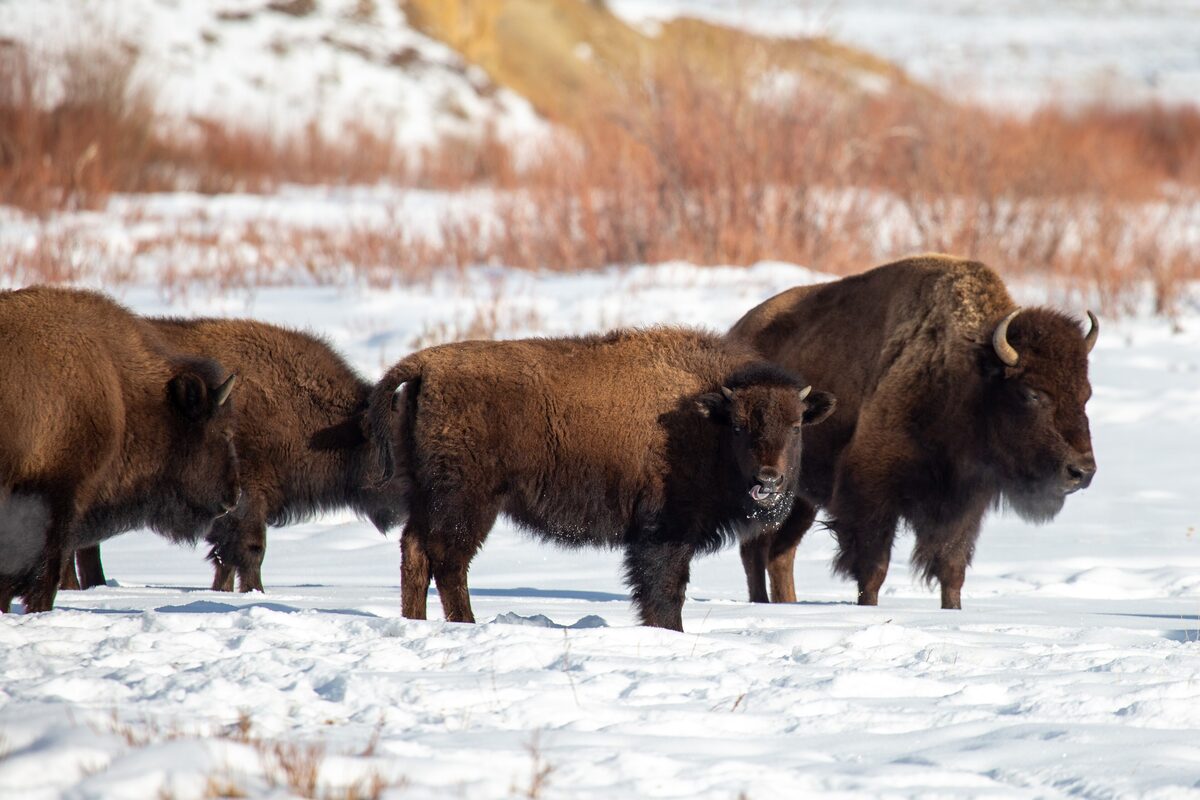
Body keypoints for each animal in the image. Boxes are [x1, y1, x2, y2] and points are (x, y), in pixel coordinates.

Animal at [367, 327, 834, 631]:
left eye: (796, 425)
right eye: (739, 426)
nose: (768, 479)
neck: (704, 418)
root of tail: (426, 366)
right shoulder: (666, 532)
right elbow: (665, 589)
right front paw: (669, 631)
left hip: (428, 497)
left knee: (415, 550)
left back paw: (417, 621)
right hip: (468, 502)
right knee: (449, 559)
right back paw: (465, 623)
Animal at [731, 254, 1098, 609]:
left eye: (1086, 394)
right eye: (1031, 393)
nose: (1082, 471)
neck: (967, 379)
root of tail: (739, 330)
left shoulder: (963, 505)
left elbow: (951, 570)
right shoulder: (871, 494)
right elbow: (873, 569)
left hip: (800, 498)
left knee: (780, 553)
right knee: (755, 550)